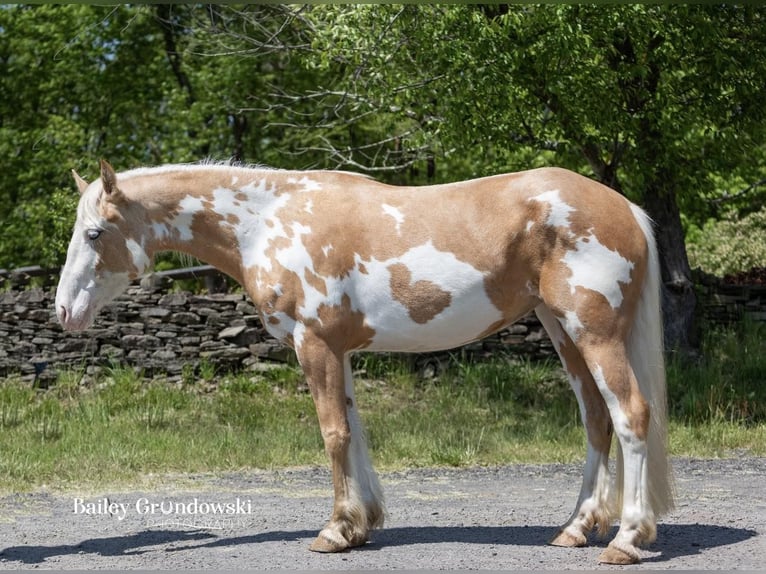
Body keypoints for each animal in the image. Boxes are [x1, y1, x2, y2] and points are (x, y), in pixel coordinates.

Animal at [57, 162, 676, 568]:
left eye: (94, 232)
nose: (64, 311)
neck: (267, 221)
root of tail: (623, 206)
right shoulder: (339, 351)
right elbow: (353, 431)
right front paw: (361, 524)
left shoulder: (314, 345)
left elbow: (332, 433)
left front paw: (334, 531)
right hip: (563, 331)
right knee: (596, 421)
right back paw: (576, 529)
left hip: (594, 333)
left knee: (631, 417)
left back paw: (626, 539)